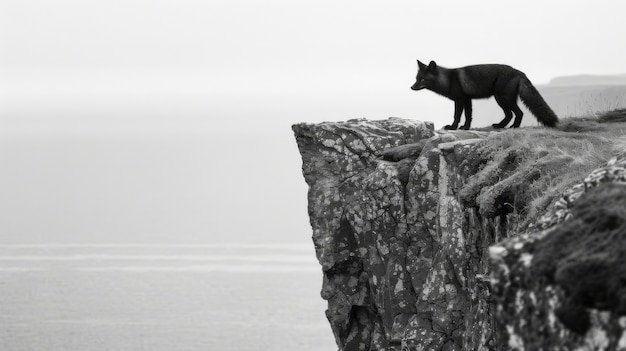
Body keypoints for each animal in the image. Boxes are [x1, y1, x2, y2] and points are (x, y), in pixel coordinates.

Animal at [410, 60, 556, 131]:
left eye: (422, 80)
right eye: (417, 79)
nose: (411, 87)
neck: (449, 80)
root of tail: (519, 72)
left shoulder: (460, 100)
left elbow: (457, 115)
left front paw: (453, 127)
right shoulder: (467, 100)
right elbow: (468, 115)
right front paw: (466, 128)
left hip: (503, 99)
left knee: (519, 113)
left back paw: (514, 127)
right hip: (501, 100)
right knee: (509, 114)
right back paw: (500, 126)